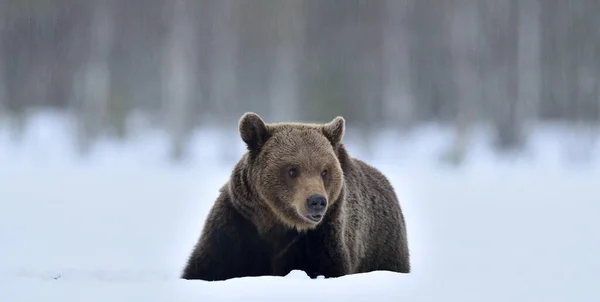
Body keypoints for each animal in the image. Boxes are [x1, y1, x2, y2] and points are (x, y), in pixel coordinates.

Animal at [182, 112, 408, 280]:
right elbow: (206, 267)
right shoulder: (237, 226)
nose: (316, 201)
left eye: (324, 171)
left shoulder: (321, 237)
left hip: (384, 245)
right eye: (292, 170)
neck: (276, 223)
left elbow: (327, 268)